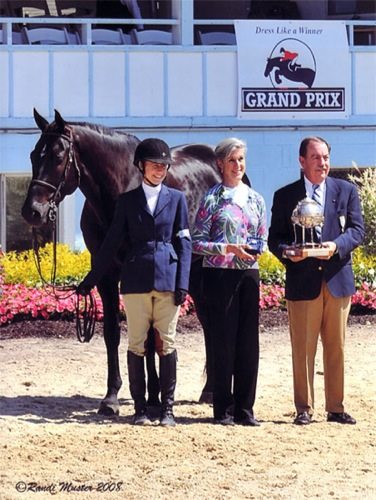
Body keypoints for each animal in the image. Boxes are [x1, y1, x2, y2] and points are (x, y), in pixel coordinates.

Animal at [21, 108, 220, 414]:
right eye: (33, 154)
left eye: (57, 156)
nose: (32, 211)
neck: (119, 191)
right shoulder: (105, 271)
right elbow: (113, 332)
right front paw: (111, 397)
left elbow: (148, 336)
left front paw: (153, 396)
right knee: (208, 321)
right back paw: (208, 390)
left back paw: (209, 391)